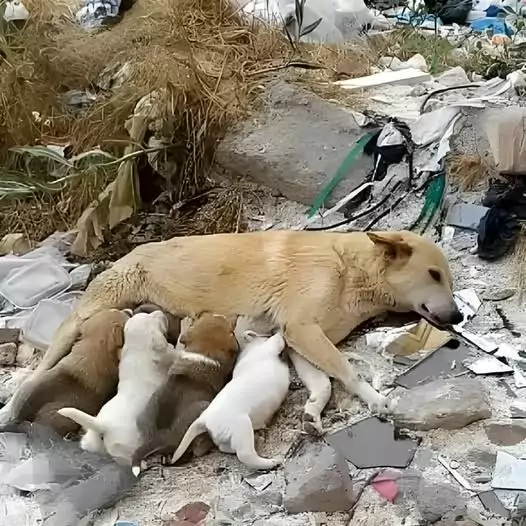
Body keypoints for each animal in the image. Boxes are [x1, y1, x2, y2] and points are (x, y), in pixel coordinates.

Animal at [58, 314, 173, 466]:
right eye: (154, 319)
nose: (162, 313)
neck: (137, 350)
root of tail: (102, 425)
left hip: (93, 440)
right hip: (126, 447)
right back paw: (143, 464)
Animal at [132, 314, 239, 474]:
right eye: (230, 328)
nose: (227, 316)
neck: (203, 350)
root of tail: (164, 437)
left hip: (145, 412)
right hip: (203, 409)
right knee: (198, 449)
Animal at [171, 332, 290, 472]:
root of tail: (204, 419)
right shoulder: (268, 348)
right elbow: (276, 341)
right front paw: (280, 335)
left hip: (229, 436)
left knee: (225, 448)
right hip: (242, 426)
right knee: (245, 455)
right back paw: (272, 461)